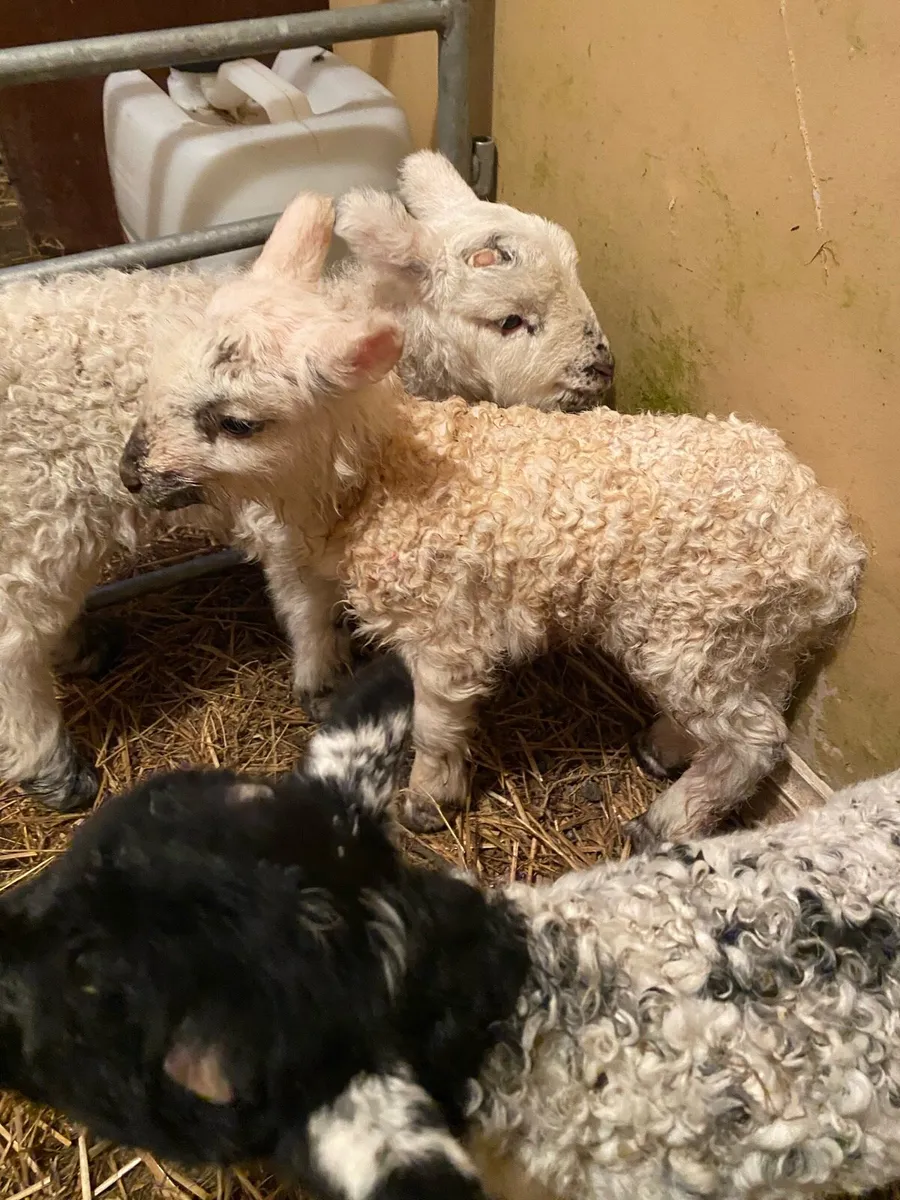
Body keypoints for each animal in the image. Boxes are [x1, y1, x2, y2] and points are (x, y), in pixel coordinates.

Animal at [0, 163, 610, 814]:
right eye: (509, 320)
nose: (602, 369)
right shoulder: (284, 515)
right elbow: (306, 603)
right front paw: (321, 680)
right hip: (36, 506)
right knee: (15, 640)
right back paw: (53, 768)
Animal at [122, 189, 866, 847]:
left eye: (237, 423)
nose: (131, 471)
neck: (384, 475)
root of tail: (832, 546)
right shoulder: (304, 552)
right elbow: (305, 613)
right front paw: (319, 687)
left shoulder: (447, 630)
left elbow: (436, 723)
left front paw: (427, 801)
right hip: (752, 640)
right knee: (755, 706)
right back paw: (664, 748)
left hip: (695, 632)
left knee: (756, 740)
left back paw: (664, 821)